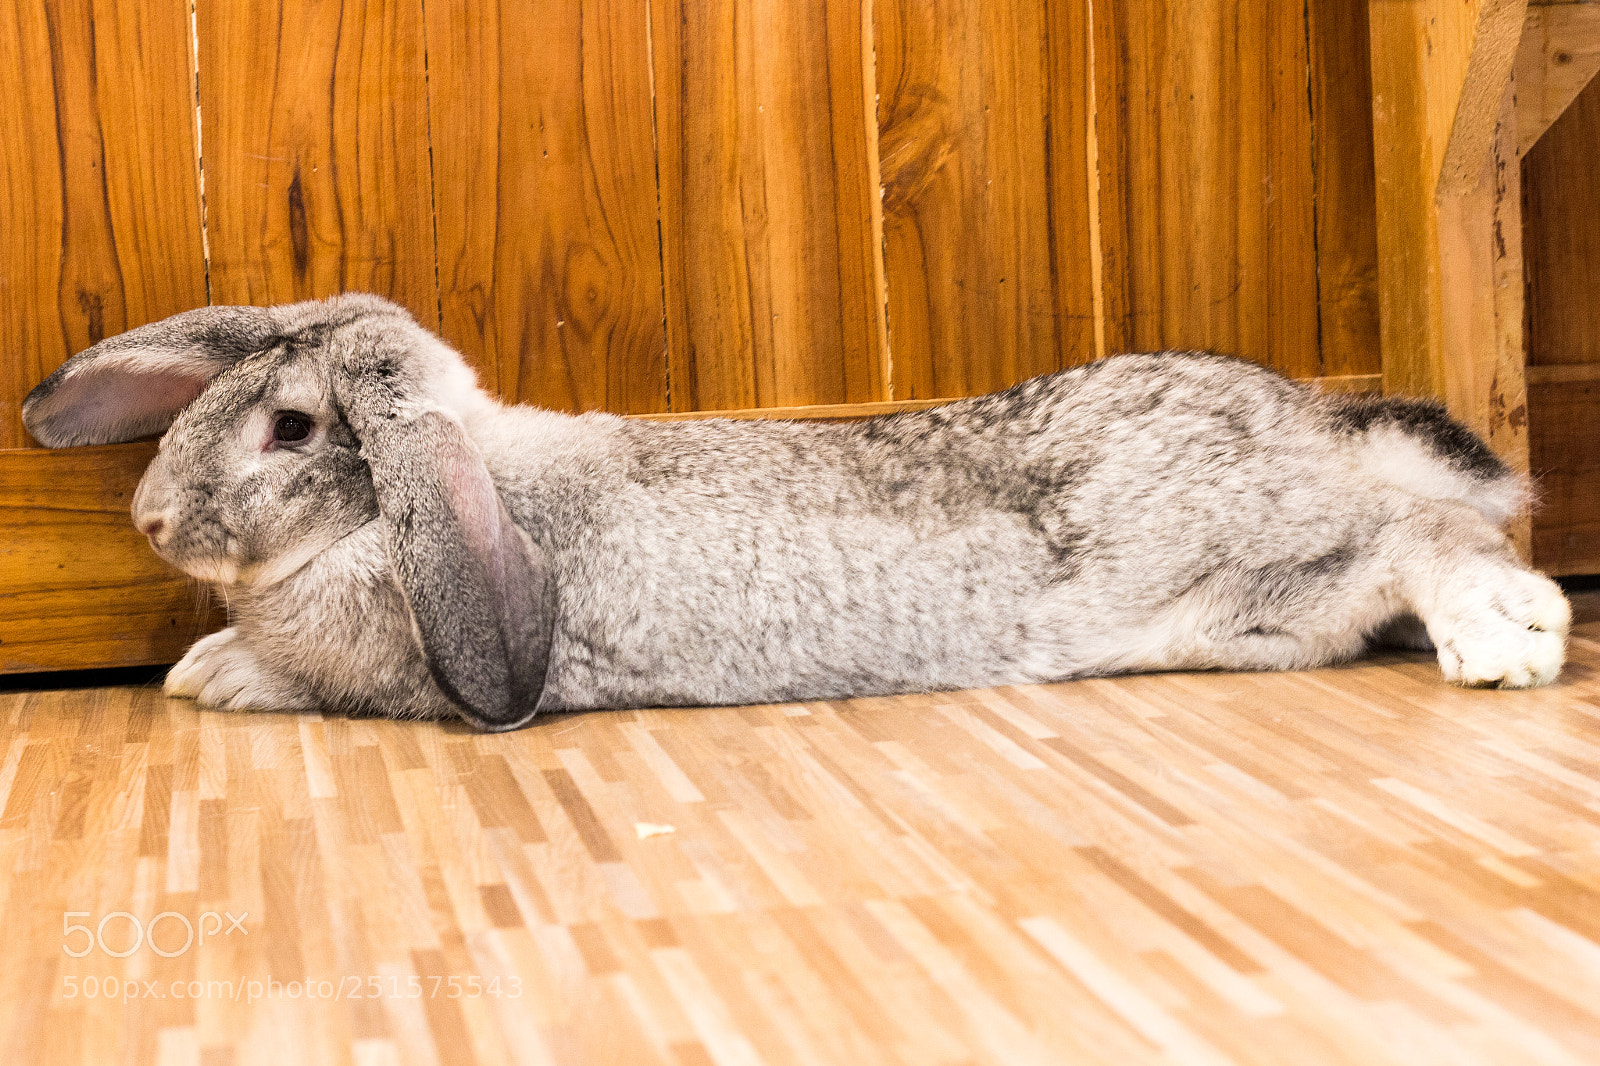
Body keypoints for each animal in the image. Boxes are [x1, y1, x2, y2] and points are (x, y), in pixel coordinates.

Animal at [21, 293, 1570, 731]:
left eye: (289, 428)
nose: (150, 522)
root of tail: (1318, 421)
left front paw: (212, 672)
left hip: (1253, 553)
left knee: (1427, 542)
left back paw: (1508, 636)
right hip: (1246, 614)